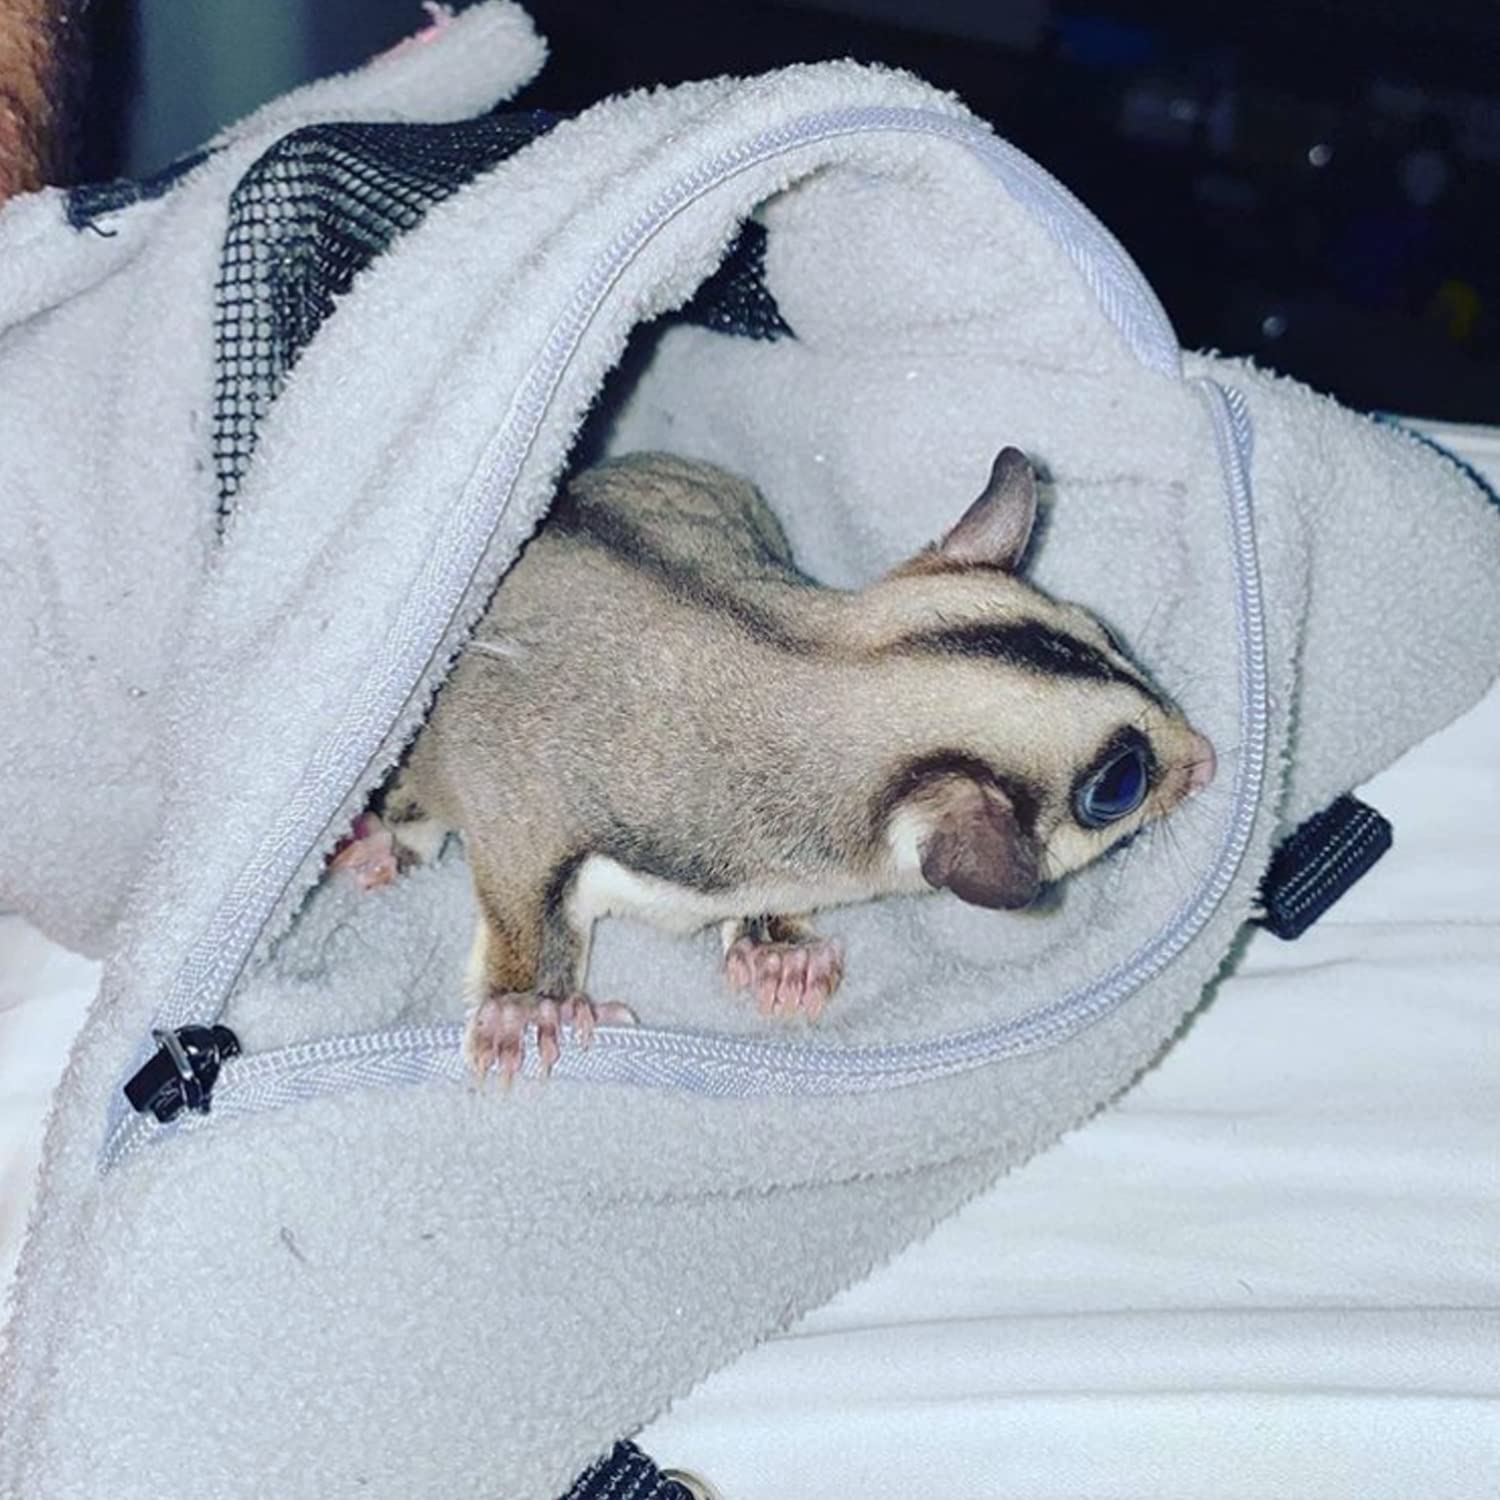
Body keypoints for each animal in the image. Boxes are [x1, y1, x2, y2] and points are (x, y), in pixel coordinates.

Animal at [374, 449, 1215, 1081]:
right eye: (1120, 785)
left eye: (1104, 632)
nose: (1206, 759)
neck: (821, 657)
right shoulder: (529, 783)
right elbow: (521, 872)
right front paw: (529, 1008)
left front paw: (778, 952)